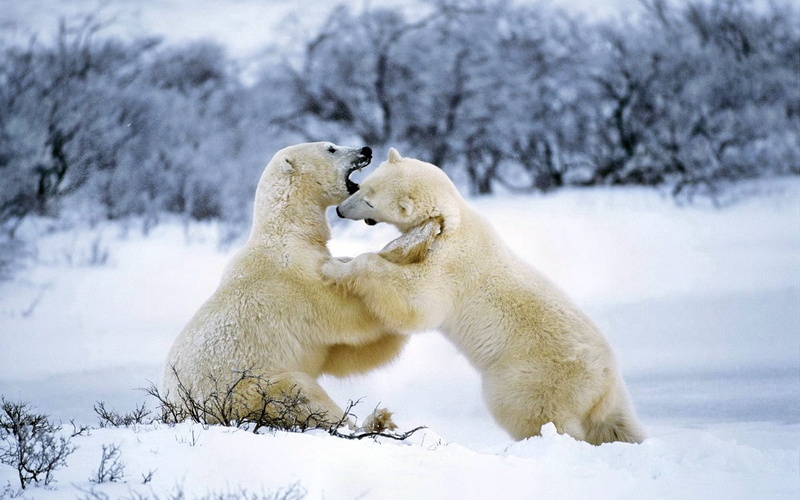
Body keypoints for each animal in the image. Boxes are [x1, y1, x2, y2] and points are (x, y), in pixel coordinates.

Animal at [163, 142, 407, 429]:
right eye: (331, 148)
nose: (366, 150)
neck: (288, 232)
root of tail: (176, 410)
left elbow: (342, 355)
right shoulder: (296, 280)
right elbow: (348, 316)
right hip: (246, 390)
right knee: (298, 393)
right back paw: (370, 420)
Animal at [322, 148, 646, 445]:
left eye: (369, 201)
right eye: (363, 186)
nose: (340, 211)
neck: (453, 219)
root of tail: (605, 382)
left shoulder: (451, 266)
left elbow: (417, 300)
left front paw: (336, 268)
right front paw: (341, 259)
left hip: (533, 376)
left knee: (531, 411)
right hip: (604, 397)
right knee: (615, 424)